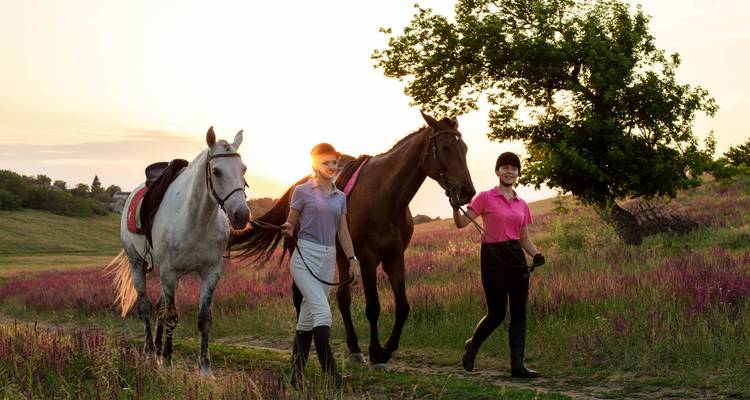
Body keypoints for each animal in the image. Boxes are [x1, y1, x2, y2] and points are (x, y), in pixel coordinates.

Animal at [106, 127, 250, 378]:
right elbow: (172, 317)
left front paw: (205, 370)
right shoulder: (170, 273)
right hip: (139, 265)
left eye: (243, 169)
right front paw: (167, 361)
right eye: (216, 171)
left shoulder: (211, 273)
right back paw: (151, 354)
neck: (196, 219)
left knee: (159, 307)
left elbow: (204, 318)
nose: (241, 215)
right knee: (145, 307)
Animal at [232, 111, 475, 367]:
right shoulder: (367, 258)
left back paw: (354, 348)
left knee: (341, 299)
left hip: (340, 257)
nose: (467, 191)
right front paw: (376, 352)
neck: (385, 196)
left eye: (464, 148)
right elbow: (373, 307)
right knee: (300, 297)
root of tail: (294, 188)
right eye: (445, 147)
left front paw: (387, 349)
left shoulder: (394, 257)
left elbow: (403, 306)